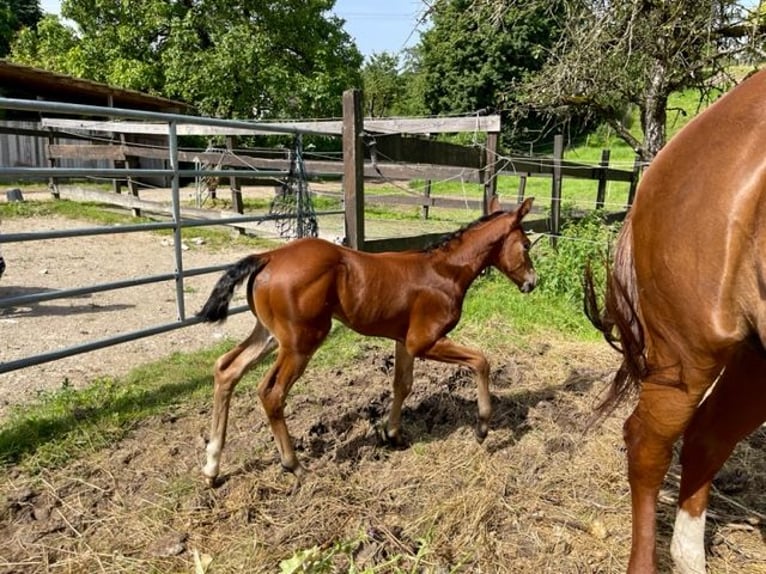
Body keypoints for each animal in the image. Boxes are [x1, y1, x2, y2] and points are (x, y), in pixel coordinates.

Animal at [195, 198, 536, 490]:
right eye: (527, 245)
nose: (532, 283)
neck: (445, 271)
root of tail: (268, 257)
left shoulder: (404, 341)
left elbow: (403, 384)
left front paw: (393, 434)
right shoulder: (425, 341)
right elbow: (480, 361)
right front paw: (482, 427)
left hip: (268, 334)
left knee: (226, 369)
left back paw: (212, 467)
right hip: (301, 342)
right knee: (271, 393)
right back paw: (296, 467)